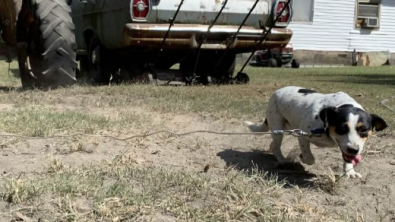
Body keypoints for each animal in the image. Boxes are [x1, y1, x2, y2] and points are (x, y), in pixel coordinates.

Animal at [246, 86, 388, 178]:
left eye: (364, 130)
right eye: (342, 128)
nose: (353, 150)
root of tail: (277, 91)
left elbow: (347, 159)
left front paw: (349, 172)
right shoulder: (303, 135)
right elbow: (310, 158)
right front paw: (302, 158)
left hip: (283, 128)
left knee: (273, 145)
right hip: (277, 127)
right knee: (276, 147)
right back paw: (283, 161)